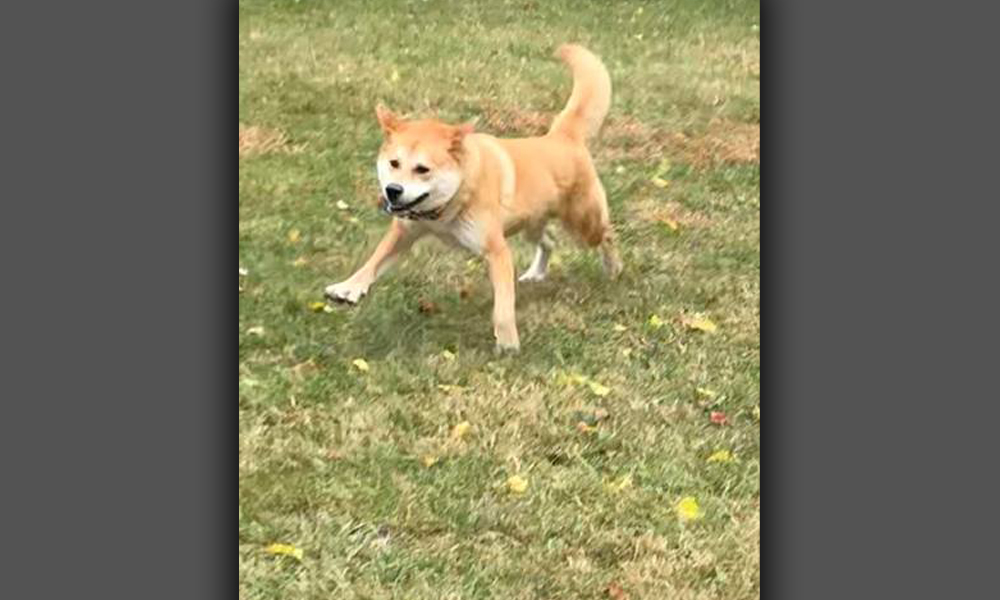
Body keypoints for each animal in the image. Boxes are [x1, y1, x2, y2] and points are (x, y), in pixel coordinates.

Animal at [324, 44, 620, 354]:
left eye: (422, 169)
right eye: (394, 163)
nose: (393, 190)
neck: (449, 204)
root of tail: (561, 137)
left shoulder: (498, 252)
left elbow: (503, 307)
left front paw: (508, 343)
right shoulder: (405, 230)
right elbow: (375, 260)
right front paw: (348, 287)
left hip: (584, 223)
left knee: (607, 235)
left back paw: (613, 270)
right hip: (531, 223)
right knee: (549, 241)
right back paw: (536, 273)